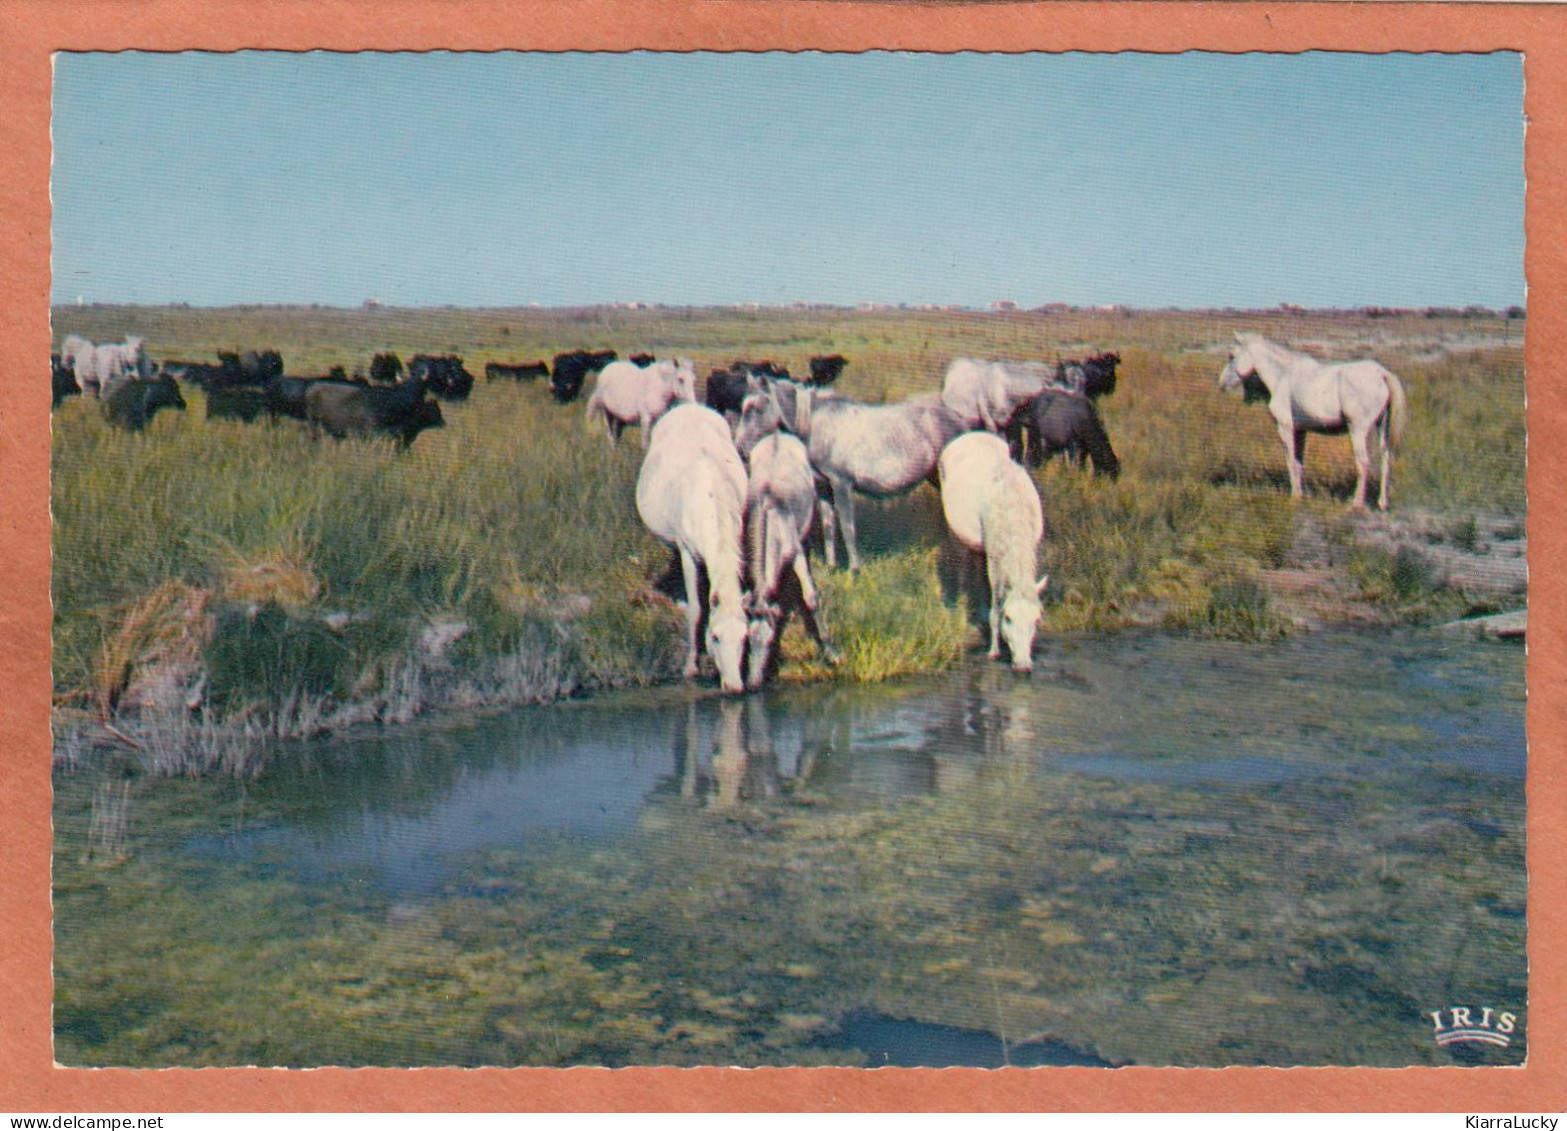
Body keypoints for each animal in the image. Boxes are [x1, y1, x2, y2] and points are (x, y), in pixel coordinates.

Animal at [639, 401, 755, 692]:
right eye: (714, 637)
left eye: (744, 638)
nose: (735, 687)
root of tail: (688, 405)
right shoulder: (688, 552)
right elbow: (697, 609)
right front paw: (690, 667)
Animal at [733, 379, 965, 573]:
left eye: (757, 407)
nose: (739, 448)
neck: (816, 424)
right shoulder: (823, 488)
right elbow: (829, 526)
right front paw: (831, 566)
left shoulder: (841, 483)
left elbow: (847, 526)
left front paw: (855, 569)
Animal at [933, 432, 1046, 670]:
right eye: (1008, 618)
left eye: (1036, 619)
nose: (1023, 665)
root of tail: (969, 435)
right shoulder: (994, 555)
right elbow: (996, 602)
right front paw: (994, 650)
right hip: (956, 534)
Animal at [1215, 330, 1416, 510]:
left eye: (1231, 356)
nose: (1221, 384)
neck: (1283, 375)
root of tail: (1381, 373)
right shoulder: (1300, 431)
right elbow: (1298, 462)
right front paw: (1301, 494)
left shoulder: (1285, 428)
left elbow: (1290, 461)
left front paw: (1295, 496)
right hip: (1382, 428)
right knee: (1385, 460)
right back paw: (1382, 503)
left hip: (1357, 430)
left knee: (1364, 463)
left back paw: (1356, 503)